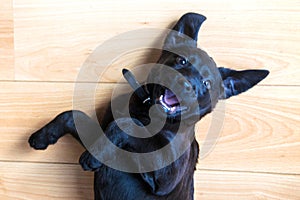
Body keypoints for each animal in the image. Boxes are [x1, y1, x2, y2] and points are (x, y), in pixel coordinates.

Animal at [28, 13, 270, 199]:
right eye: (181, 61)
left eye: (207, 84)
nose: (185, 84)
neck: (148, 111)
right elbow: (73, 114)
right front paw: (43, 136)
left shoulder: (164, 180)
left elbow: (127, 125)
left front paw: (93, 157)